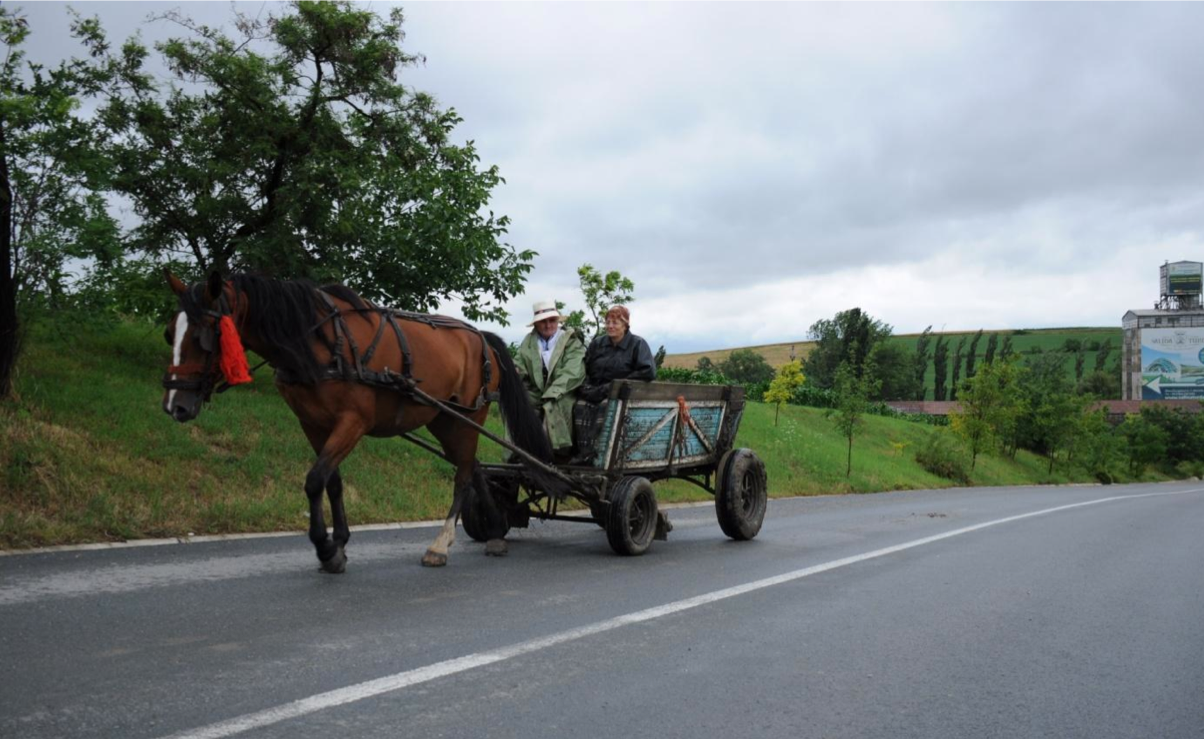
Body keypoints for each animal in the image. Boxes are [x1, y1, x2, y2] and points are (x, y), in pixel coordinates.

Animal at [160, 270, 555, 572]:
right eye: (169, 332)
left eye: (204, 334)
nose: (174, 405)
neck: (320, 342)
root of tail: (481, 339)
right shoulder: (314, 424)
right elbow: (331, 481)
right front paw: (339, 542)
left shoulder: (353, 422)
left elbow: (314, 479)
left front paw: (325, 547)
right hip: (444, 420)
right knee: (471, 467)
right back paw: (494, 531)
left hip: (467, 417)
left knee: (461, 476)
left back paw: (440, 544)